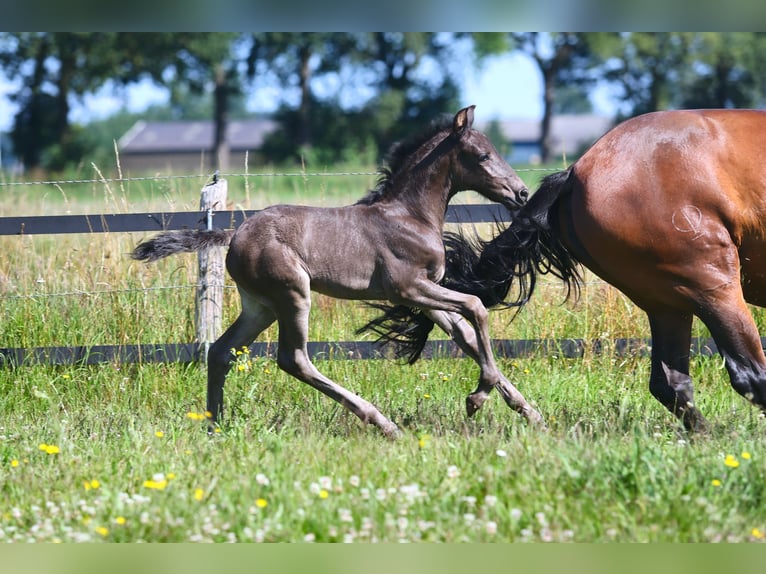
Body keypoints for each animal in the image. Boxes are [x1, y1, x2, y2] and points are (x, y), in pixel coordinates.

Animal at [130, 106, 544, 438]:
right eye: (483, 154)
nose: (522, 193)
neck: (410, 216)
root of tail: (233, 234)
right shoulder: (407, 288)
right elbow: (476, 307)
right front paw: (477, 398)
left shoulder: (426, 293)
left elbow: (467, 337)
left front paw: (529, 412)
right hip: (292, 293)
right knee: (293, 359)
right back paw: (383, 423)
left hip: (259, 306)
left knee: (220, 351)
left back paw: (214, 427)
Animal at [364, 108, 766, 434]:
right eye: (482, 154)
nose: (519, 192)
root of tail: (575, 172)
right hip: (711, 285)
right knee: (748, 374)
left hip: (668, 302)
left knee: (672, 383)